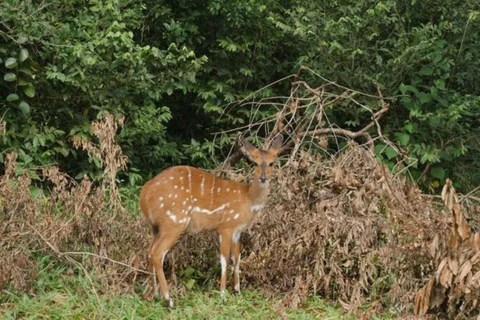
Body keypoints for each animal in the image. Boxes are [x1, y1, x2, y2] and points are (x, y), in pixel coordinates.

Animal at [139, 134, 282, 308]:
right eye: (254, 162)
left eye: (272, 163)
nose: (263, 177)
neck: (248, 200)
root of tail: (144, 195)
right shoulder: (226, 226)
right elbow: (224, 259)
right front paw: (222, 295)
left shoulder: (238, 230)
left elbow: (237, 257)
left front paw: (237, 291)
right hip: (174, 222)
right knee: (157, 253)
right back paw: (169, 300)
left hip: (156, 227)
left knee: (149, 251)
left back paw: (155, 295)